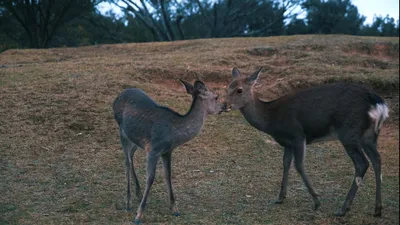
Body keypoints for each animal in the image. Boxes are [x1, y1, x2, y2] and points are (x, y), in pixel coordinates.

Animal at [112, 79, 223, 223]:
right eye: (216, 97)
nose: (225, 106)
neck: (173, 134)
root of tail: (116, 98)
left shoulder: (167, 151)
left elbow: (168, 174)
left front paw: (175, 209)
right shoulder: (154, 149)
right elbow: (150, 178)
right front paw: (139, 215)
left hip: (136, 139)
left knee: (131, 156)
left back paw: (138, 193)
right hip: (122, 130)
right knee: (126, 161)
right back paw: (128, 203)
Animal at [222, 67, 388, 217]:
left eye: (239, 90)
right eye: (227, 87)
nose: (224, 106)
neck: (271, 119)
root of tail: (378, 103)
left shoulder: (297, 134)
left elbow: (299, 165)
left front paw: (317, 201)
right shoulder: (287, 142)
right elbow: (286, 164)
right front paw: (280, 197)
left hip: (348, 131)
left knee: (362, 163)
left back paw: (343, 209)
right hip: (369, 136)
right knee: (377, 159)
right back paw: (377, 209)